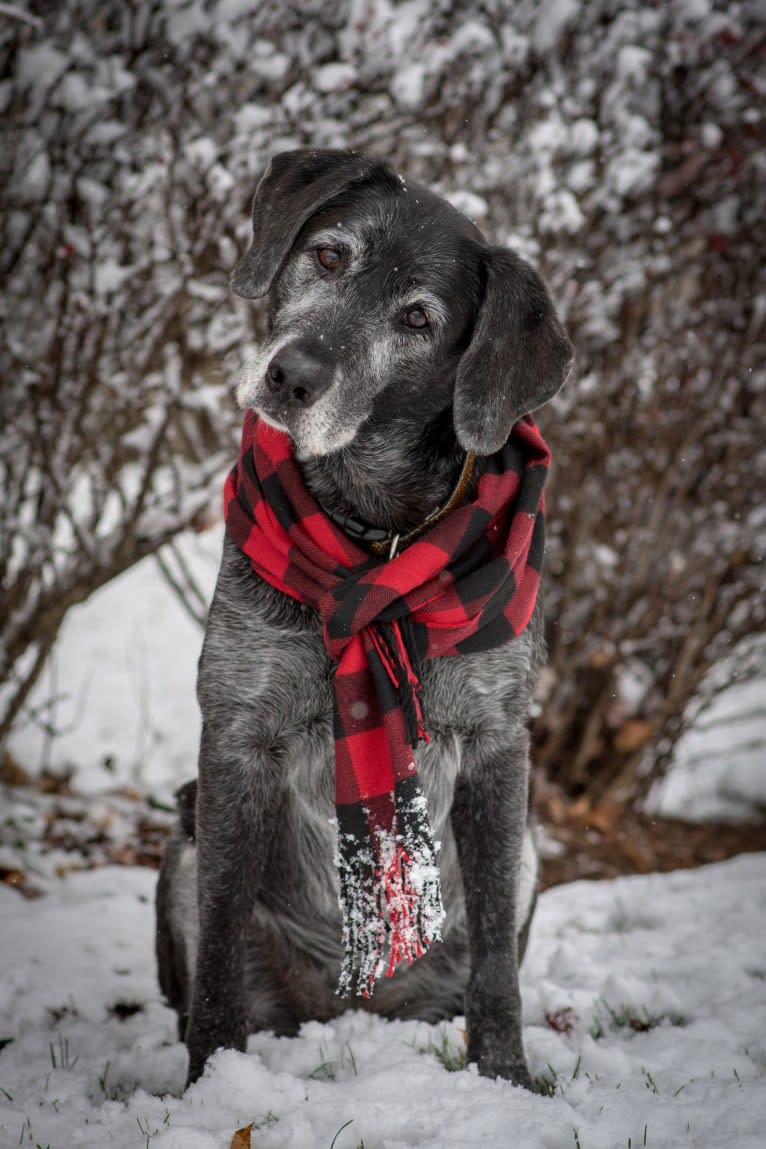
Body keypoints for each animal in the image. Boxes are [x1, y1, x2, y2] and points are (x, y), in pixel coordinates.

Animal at [156, 148, 571, 1089]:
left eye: (418, 318)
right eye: (330, 255)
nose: (291, 376)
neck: (373, 535)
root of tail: (352, 1007)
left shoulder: (497, 745)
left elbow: (497, 955)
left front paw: (504, 1076)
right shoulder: (235, 734)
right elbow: (221, 940)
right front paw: (210, 1082)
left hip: (529, 855)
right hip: (180, 846)